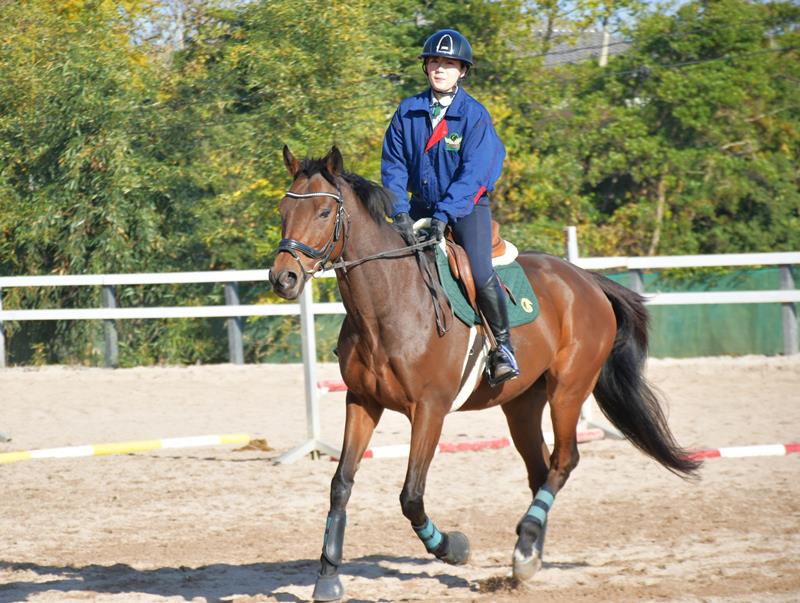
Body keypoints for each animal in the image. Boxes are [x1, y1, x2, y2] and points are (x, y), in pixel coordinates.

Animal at [268, 145, 701, 602]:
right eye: (283, 210)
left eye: (322, 212)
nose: (283, 278)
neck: (390, 304)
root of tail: (585, 279)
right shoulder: (362, 402)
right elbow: (341, 483)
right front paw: (328, 575)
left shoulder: (430, 410)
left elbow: (411, 496)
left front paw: (453, 548)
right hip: (522, 404)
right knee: (539, 470)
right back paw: (528, 553)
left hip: (568, 391)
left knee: (563, 461)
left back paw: (525, 548)